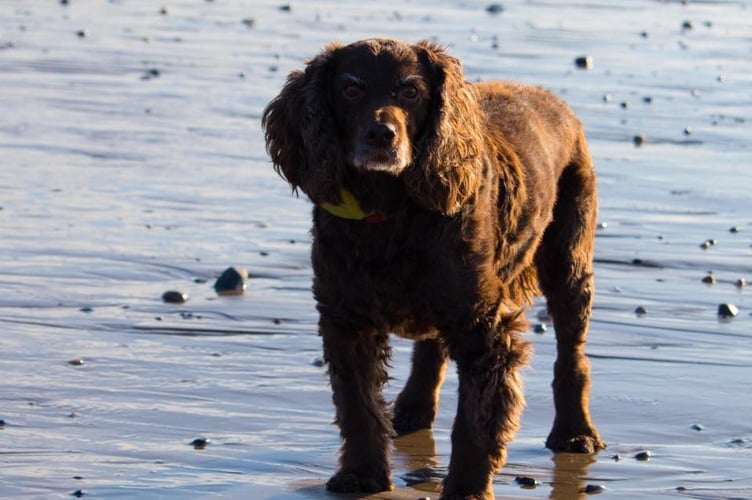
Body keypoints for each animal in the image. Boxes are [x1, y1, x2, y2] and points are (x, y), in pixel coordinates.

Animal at [262, 37, 604, 498]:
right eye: (351, 89)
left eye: (411, 92)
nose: (382, 134)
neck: (389, 212)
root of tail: (550, 98)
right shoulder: (345, 321)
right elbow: (358, 407)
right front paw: (361, 475)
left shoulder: (486, 330)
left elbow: (474, 423)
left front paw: (466, 489)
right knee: (431, 347)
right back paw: (413, 408)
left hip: (568, 262)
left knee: (572, 354)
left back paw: (575, 432)